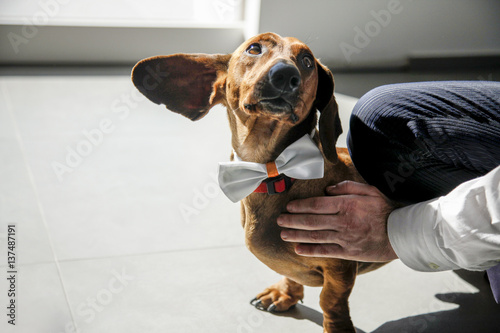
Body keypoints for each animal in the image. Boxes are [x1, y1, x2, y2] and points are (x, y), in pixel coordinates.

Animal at [132, 31, 382, 332]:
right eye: (254, 48)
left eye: (307, 61)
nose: (285, 75)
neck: (273, 173)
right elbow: (292, 275)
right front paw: (285, 293)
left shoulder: (340, 267)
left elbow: (330, 302)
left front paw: (337, 327)